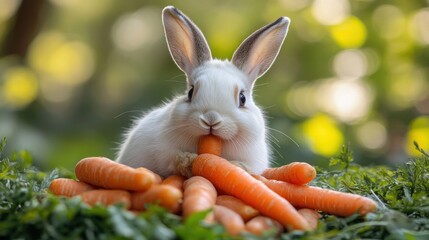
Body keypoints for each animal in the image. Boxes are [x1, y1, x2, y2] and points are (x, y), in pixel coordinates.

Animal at [116, 6, 290, 178]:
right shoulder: (161, 150)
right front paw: (188, 161)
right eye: (190, 92)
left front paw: (235, 166)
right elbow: (172, 158)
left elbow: (247, 167)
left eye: (242, 98)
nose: (211, 119)